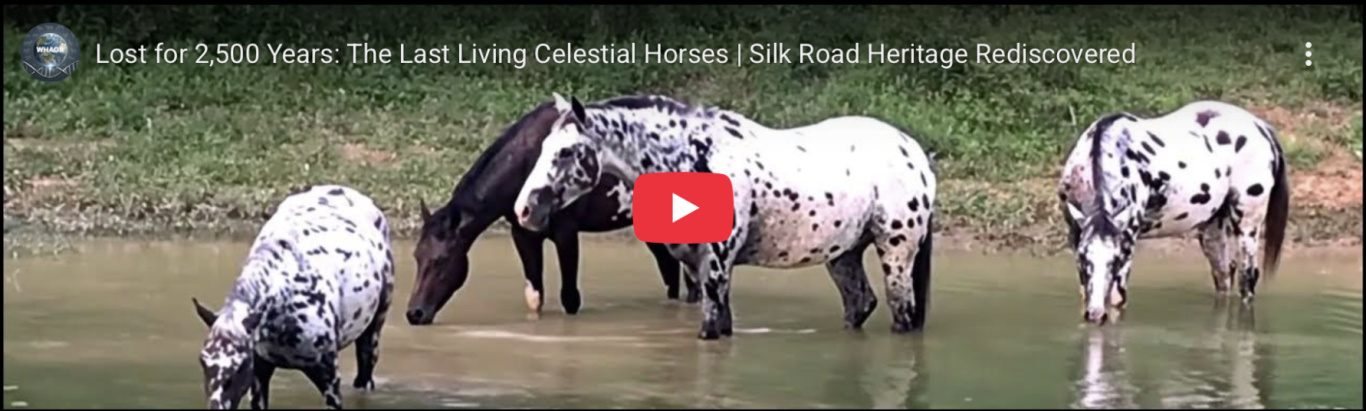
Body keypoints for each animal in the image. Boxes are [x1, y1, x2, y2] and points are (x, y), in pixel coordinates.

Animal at [190, 185, 395, 409]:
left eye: (241, 364)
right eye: (203, 361)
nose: (216, 406)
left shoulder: (330, 381)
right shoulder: (259, 375)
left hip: (374, 330)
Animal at [405, 100, 694, 326]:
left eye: (441, 259)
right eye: (416, 256)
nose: (414, 313)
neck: (525, 167)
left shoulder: (566, 233)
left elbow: (570, 298)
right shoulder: (523, 234)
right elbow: (535, 296)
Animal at [514, 93, 937, 340]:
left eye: (566, 152)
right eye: (545, 146)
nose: (524, 210)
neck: (694, 159)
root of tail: (913, 152)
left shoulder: (715, 267)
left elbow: (709, 332)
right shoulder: (702, 268)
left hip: (896, 254)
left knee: (901, 313)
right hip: (843, 255)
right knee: (860, 305)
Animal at [1057, 101, 1289, 325]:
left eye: (1116, 259)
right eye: (1083, 258)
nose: (1096, 315)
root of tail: (1262, 127)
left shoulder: (1127, 243)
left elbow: (1117, 300)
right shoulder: (1077, 237)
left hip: (1248, 224)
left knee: (1247, 277)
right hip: (1212, 230)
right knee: (1224, 276)